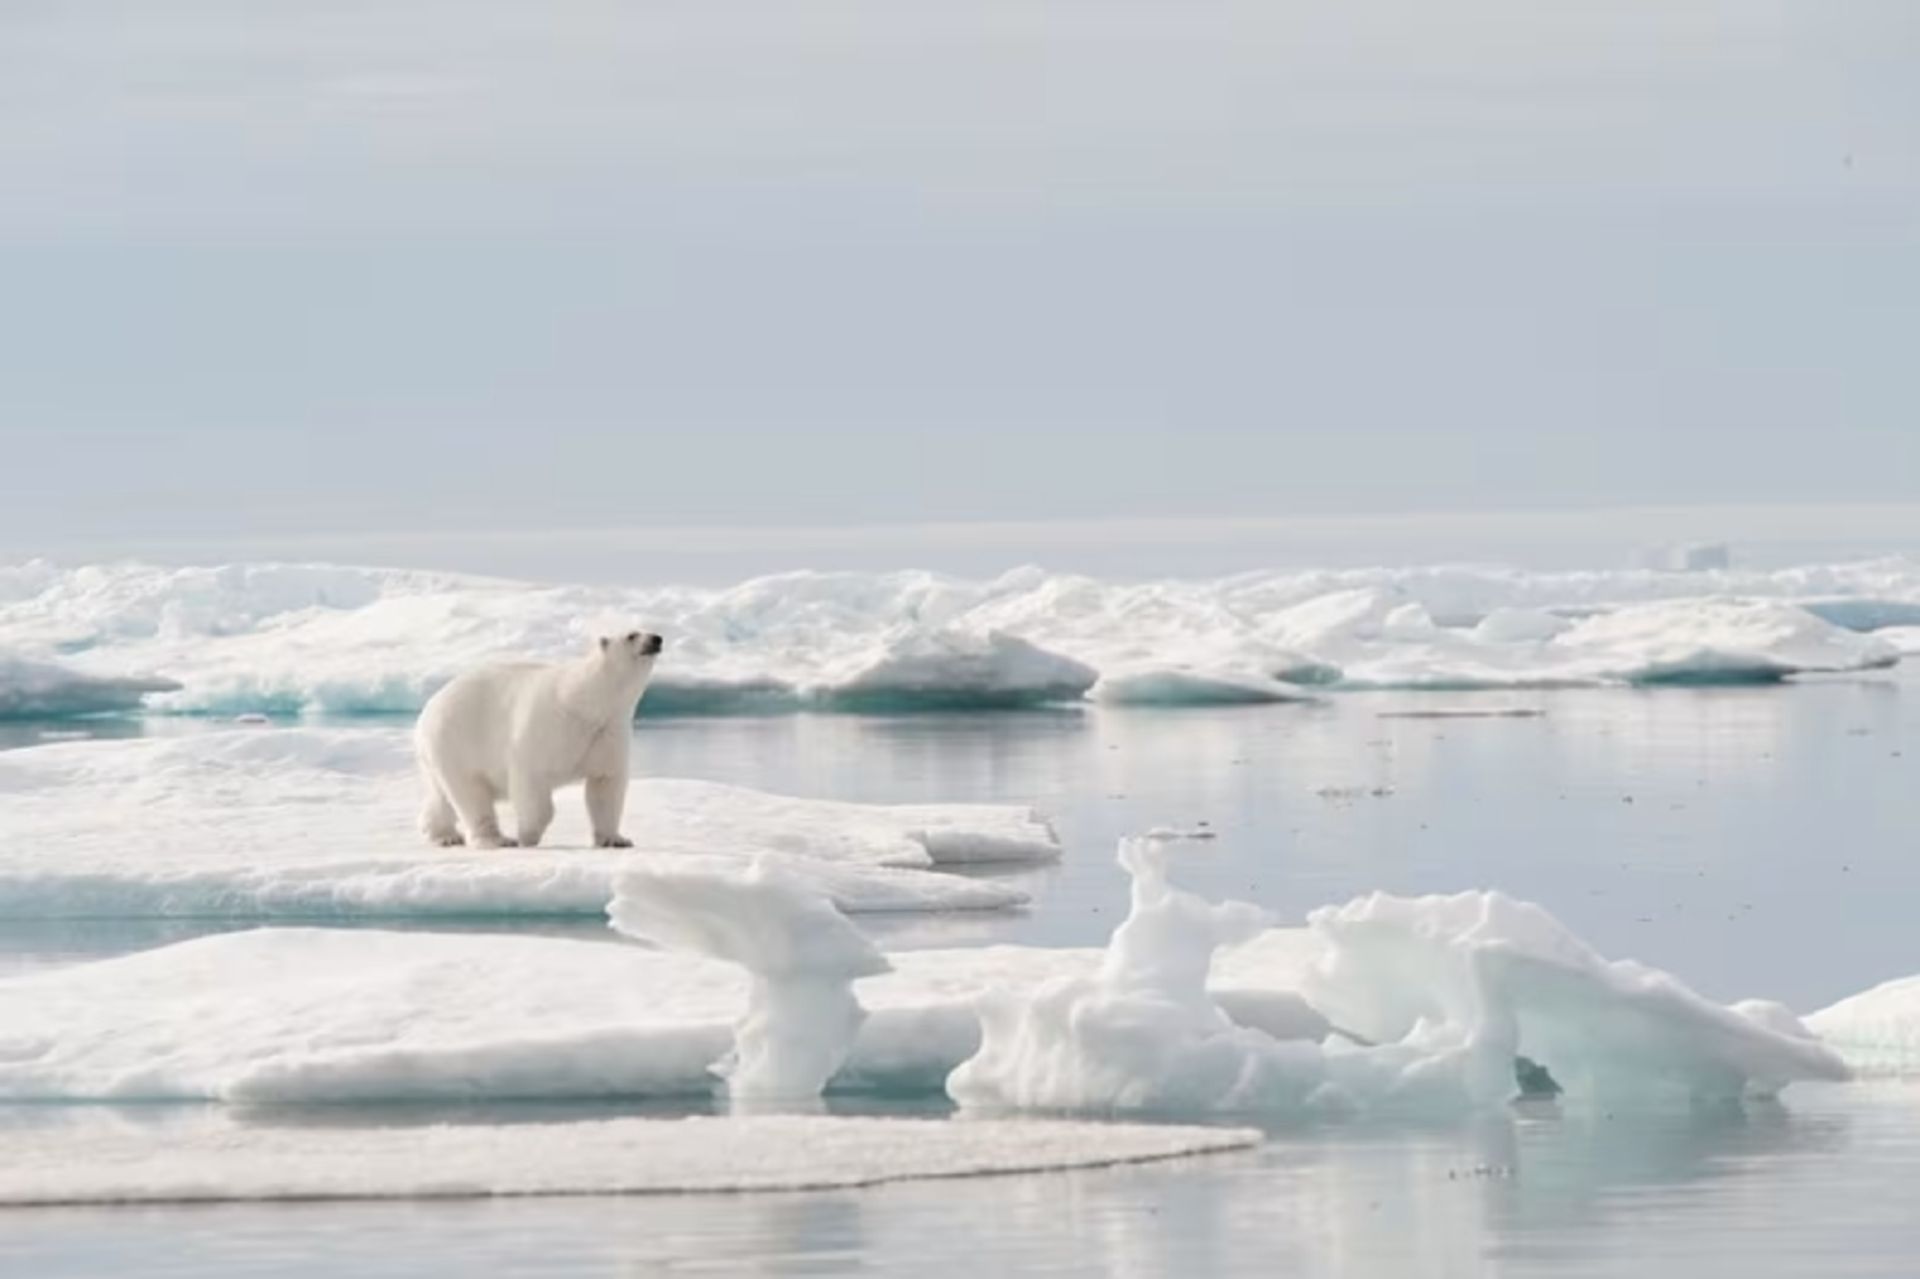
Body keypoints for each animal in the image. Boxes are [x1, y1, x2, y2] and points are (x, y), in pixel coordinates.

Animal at [415, 629, 664, 849]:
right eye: (632, 635)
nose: (657, 639)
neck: (586, 703)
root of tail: (428, 709)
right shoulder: (549, 728)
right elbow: (531, 778)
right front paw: (527, 835)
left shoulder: (608, 732)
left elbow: (605, 785)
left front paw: (616, 840)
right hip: (456, 740)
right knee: (470, 794)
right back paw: (497, 840)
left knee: (441, 795)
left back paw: (443, 835)